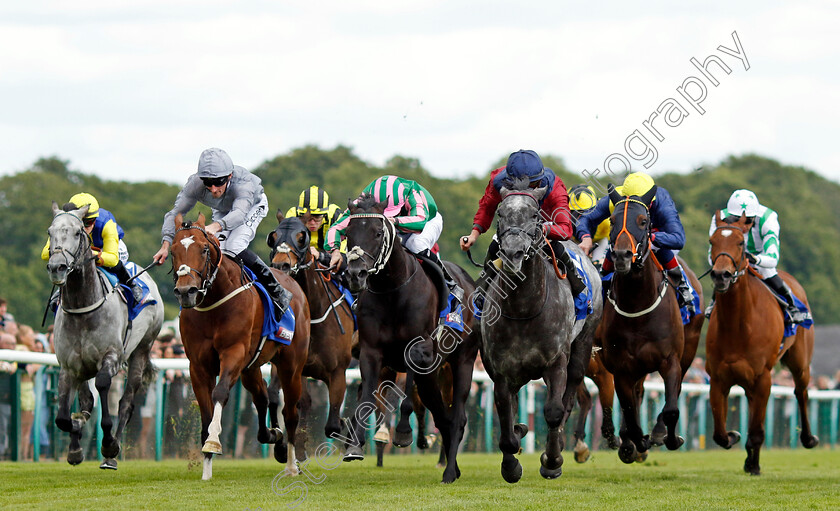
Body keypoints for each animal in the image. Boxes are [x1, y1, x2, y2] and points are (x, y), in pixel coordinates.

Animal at [45, 202, 164, 470]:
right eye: (50, 232)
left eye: (78, 232)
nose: (57, 267)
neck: (83, 309)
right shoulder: (69, 367)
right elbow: (63, 417)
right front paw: (75, 442)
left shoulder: (111, 357)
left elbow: (102, 387)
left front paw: (109, 444)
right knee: (87, 400)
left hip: (142, 350)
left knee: (126, 402)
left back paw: (111, 454)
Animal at [171, 212, 312, 480]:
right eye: (172, 251)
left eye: (204, 249)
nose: (186, 291)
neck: (214, 303)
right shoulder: (197, 365)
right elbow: (206, 410)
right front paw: (206, 468)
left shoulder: (233, 353)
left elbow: (219, 393)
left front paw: (213, 442)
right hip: (251, 367)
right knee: (262, 397)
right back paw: (274, 437)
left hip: (291, 366)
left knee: (290, 412)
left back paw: (291, 465)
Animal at [480, 179, 604, 484]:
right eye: (500, 213)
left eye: (535, 214)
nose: (512, 253)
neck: (524, 309)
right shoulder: (501, 371)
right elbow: (506, 417)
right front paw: (511, 464)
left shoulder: (556, 362)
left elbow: (554, 411)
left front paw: (552, 461)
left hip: (583, 345)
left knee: (570, 397)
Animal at [596, 187, 704, 464]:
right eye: (612, 220)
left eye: (643, 221)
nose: (621, 255)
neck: (637, 307)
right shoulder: (621, 368)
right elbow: (629, 410)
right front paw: (635, 441)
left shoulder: (670, 360)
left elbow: (672, 408)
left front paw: (668, 437)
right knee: (635, 396)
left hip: (688, 351)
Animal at [704, 210, 816, 474]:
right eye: (712, 241)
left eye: (740, 243)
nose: (721, 275)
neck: (738, 326)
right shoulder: (718, 378)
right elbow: (719, 434)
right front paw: (734, 437)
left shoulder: (764, 377)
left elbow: (756, 430)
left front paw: (754, 465)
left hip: (799, 363)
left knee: (801, 392)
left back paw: (808, 438)